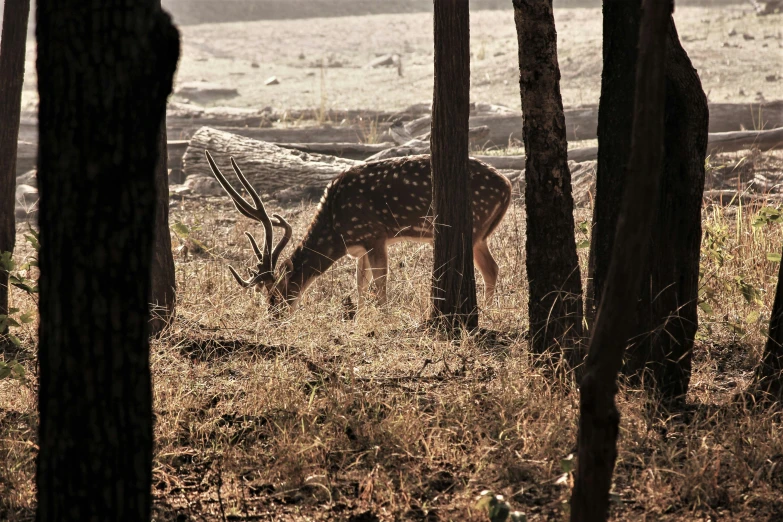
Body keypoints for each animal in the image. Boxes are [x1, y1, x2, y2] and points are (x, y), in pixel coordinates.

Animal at [207, 150, 516, 312]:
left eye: (276, 293)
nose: (274, 317)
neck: (337, 228)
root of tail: (508, 186)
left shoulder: (374, 234)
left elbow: (380, 283)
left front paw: (382, 315)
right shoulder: (358, 248)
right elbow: (361, 283)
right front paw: (360, 316)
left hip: (474, 225)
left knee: (488, 269)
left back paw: (486, 311)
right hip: (480, 233)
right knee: (492, 268)